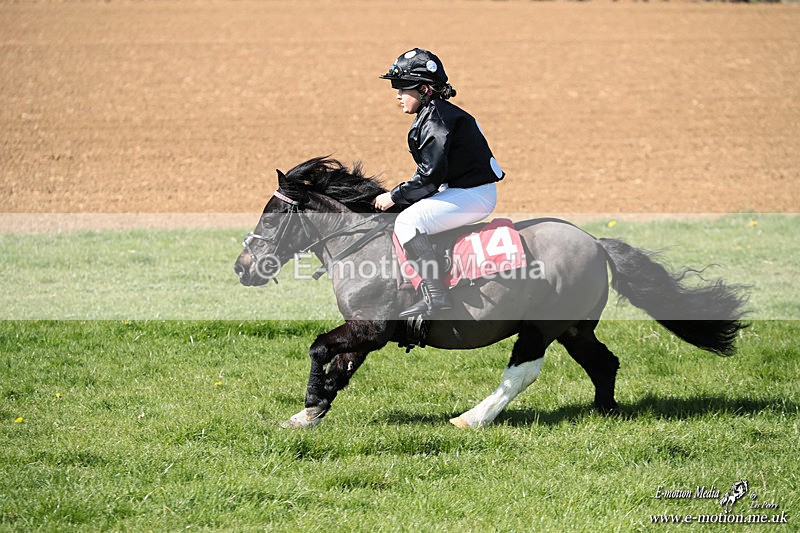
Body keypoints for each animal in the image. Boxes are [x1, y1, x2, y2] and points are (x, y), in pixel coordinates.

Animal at [234, 157, 748, 429]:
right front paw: (310, 412)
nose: (242, 267)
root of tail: (597, 243)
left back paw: (472, 418)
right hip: (576, 329)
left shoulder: (370, 327)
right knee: (604, 362)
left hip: (542, 326)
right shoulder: (365, 330)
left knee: (523, 371)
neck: (361, 245)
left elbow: (319, 348)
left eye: (271, 216)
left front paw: (310, 403)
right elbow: (339, 367)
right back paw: (605, 412)